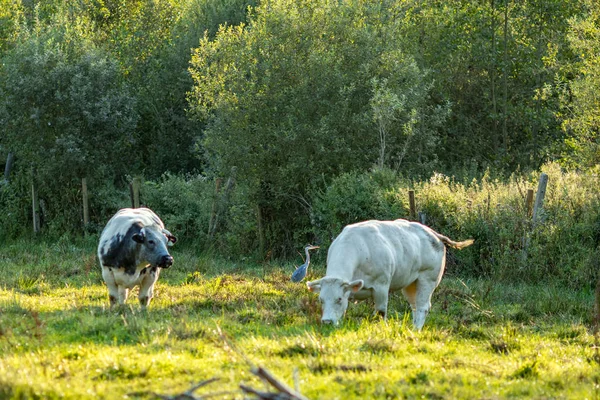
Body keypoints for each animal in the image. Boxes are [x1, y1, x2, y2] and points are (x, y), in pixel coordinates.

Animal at [310, 220, 474, 330]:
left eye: (338, 299)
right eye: (320, 299)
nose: (327, 321)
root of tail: (434, 234)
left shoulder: (381, 286)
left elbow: (381, 312)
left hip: (428, 279)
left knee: (423, 306)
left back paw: (417, 330)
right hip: (410, 283)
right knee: (414, 306)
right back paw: (412, 328)